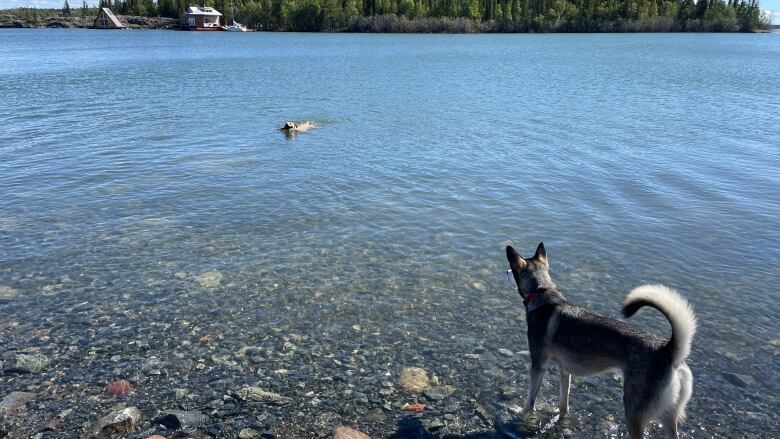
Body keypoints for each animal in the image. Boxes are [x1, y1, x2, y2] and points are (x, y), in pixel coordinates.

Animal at [508, 242, 696, 438]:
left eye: (512, 267)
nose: (506, 271)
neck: (543, 296)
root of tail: (667, 350)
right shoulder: (564, 371)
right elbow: (563, 404)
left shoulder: (538, 366)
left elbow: (530, 402)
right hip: (668, 415)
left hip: (633, 411)